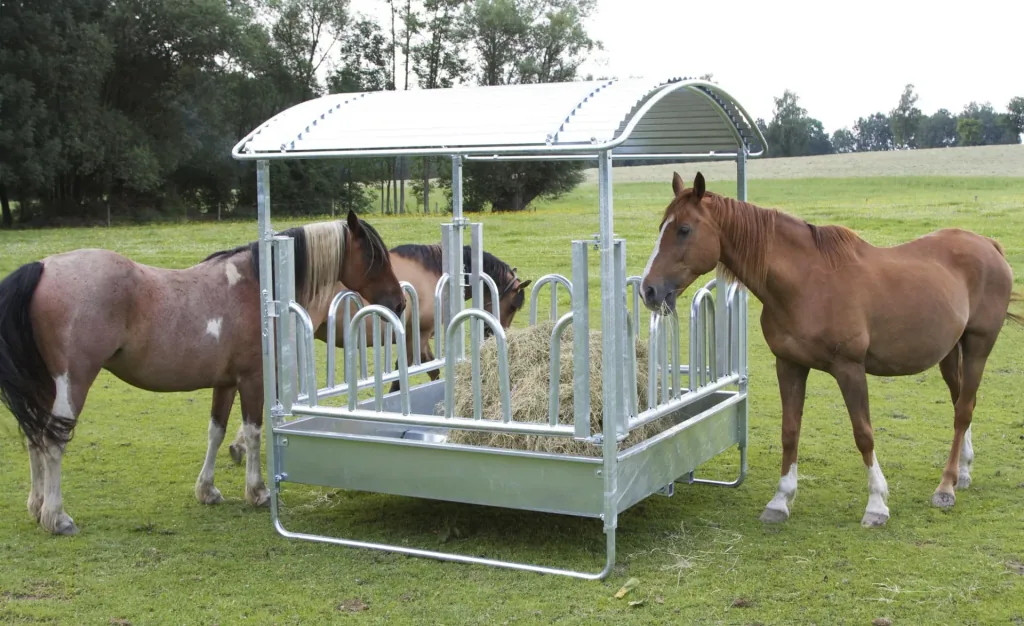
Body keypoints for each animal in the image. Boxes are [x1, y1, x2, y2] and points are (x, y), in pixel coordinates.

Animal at [0, 210, 405, 535]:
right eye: (375, 255)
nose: (399, 302)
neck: (260, 288)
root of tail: (42, 267)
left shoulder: (225, 383)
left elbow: (216, 431)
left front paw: (207, 490)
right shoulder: (253, 380)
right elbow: (254, 433)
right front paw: (258, 491)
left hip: (44, 385)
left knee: (35, 438)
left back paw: (37, 506)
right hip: (73, 382)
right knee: (53, 442)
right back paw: (57, 517)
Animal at [225, 243, 531, 464]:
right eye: (513, 305)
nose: (494, 333)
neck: (435, 274)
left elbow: (420, 372)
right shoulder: (417, 336)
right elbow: (410, 374)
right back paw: (240, 444)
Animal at [639, 172, 1021, 528]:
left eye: (684, 229)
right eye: (661, 227)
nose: (649, 290)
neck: (806, 283)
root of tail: (989, 245)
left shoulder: (849, 368)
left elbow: (863, 434)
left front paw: (877, 505)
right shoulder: (789, 365)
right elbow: (789, 432)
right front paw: (780, 500)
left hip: (978, 346)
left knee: (963, 410)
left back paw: (946, 487)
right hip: (950, 353)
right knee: (962, 404)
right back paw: (963, 473)